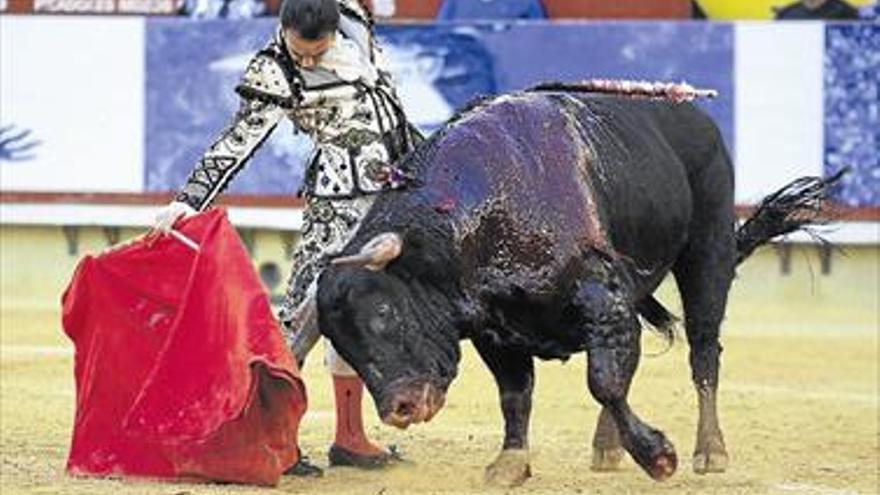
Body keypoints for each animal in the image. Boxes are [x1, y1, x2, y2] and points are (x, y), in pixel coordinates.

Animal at [314, 89, 840, 484]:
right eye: (340, 339)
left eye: (384, 311)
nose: (399, 408)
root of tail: (696, 118)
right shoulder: (495, 328)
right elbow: (517, 394)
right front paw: (511, 464)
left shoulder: (601, 295)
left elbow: (604, 381)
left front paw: (658, 455)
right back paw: (608, 447)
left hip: (707, 255)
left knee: (704, 350)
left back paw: (709, 451)